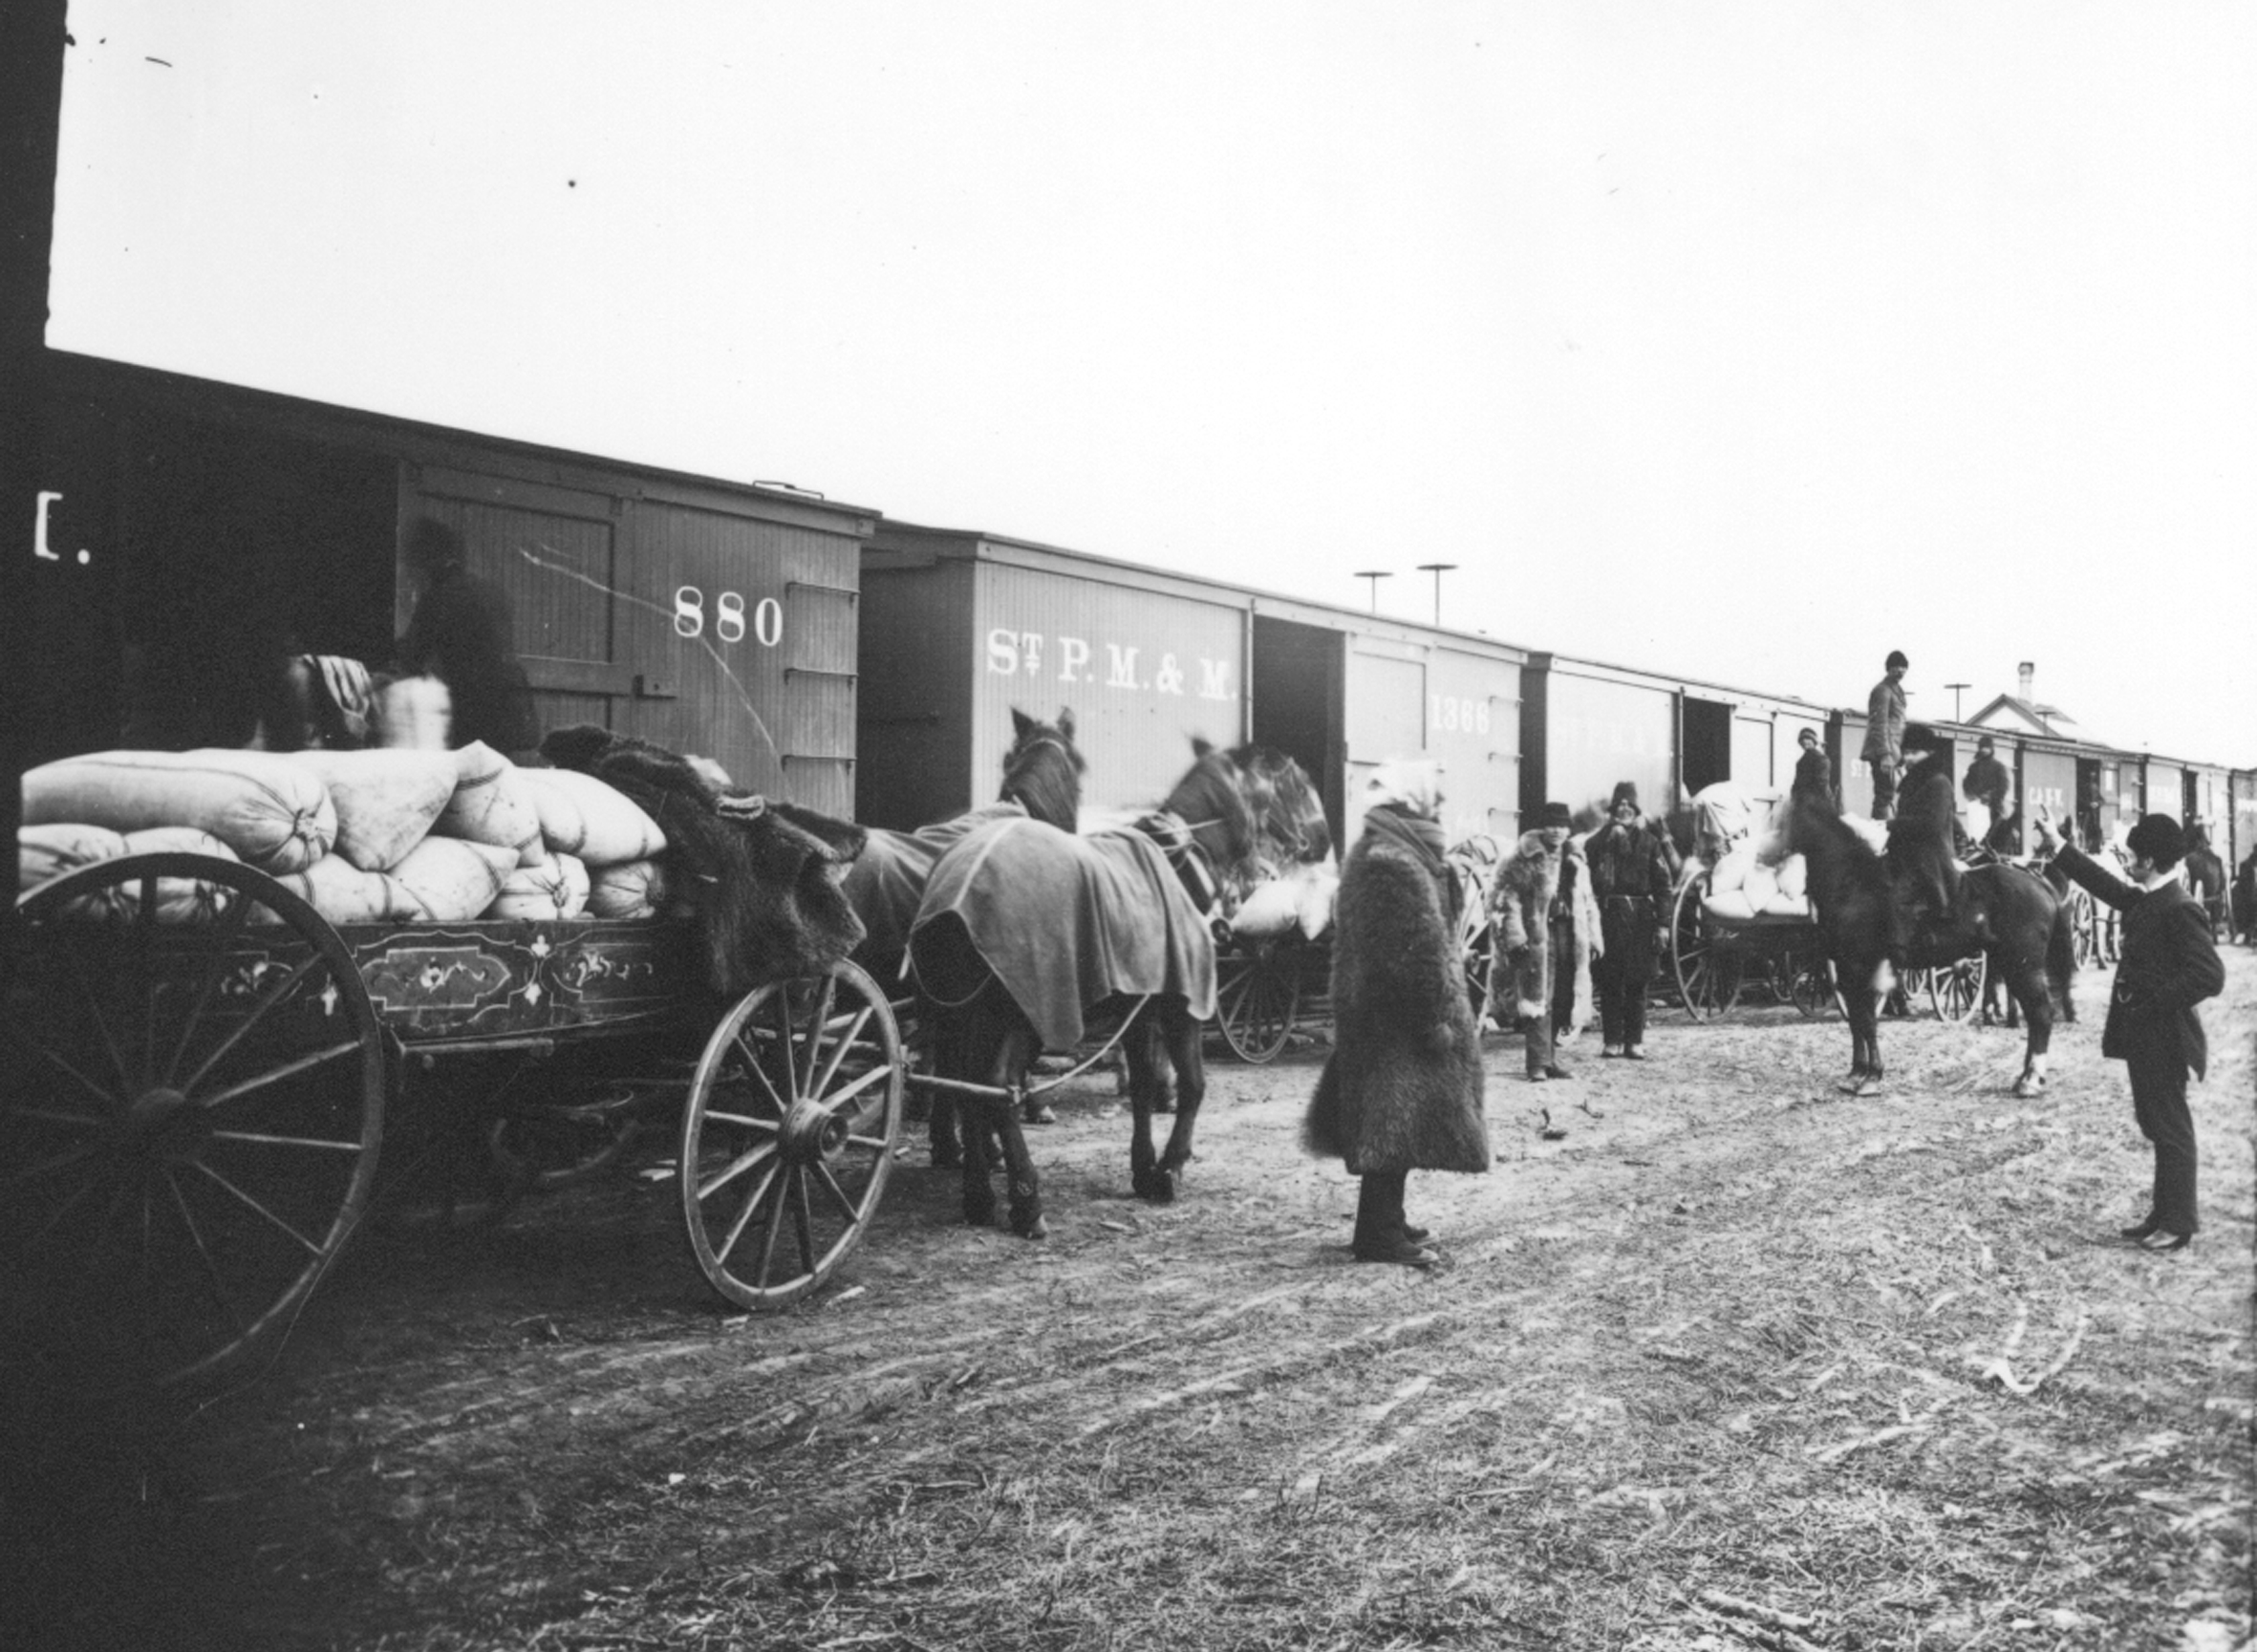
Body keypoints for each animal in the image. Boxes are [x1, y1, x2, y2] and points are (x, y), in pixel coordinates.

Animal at [915, 740, 1273, 1236]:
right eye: (1265, 797)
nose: (1264, 872)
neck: (1179, 868)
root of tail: (958, 892)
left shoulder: (1139, 1012)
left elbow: (1142, 1085)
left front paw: (1144, 1167)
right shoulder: (1182, 1006)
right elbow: (1193, 1085)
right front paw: (1171, 1167)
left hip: (961, 1014)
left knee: (964, 1088)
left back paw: (978, 1193)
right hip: (1019, 1014)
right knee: (998, 1087)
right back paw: (1026, 1198)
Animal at [1778, 799, 2076, 1096]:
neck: (1854, 882)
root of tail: (2039, 883)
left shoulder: (1859, 968)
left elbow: (1866, 1021)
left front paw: (1871, 1076)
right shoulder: (1847, 971)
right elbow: (1857, 1022)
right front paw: (1857, 1073)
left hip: (2024, 967)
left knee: (2041, 1014)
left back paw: (2031, 1079)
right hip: (2012, 965)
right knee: (2033, 1013)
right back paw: (2024, 1074)